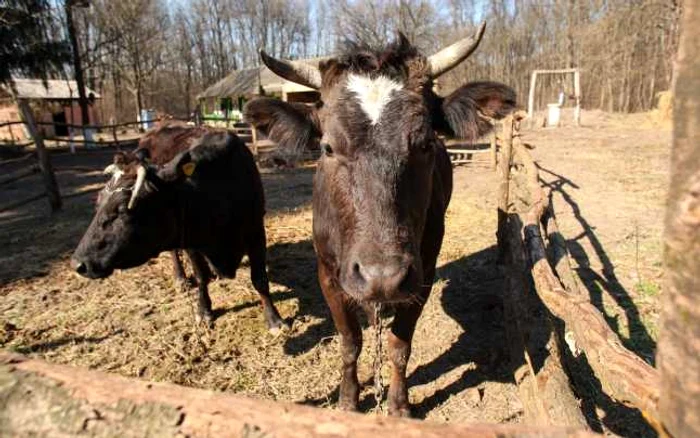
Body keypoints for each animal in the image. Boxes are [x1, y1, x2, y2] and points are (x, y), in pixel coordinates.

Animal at [72, 126, 288, 332]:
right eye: (98, 203)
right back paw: (181, 279)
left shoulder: (255, 229)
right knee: (174, 253)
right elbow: (201, 277)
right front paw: (204, 311)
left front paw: (274, 320)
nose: (78, 263)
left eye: (123, 209)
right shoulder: (190, 240)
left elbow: (259, 279)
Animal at [245, 22, 516, 416]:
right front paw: (348, 398)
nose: (382, 277)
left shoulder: (422, 274)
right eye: (327, 147)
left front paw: (399, 404)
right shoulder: (328, 274)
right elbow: (350, 342)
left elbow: (399, 345)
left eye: (426, 143)